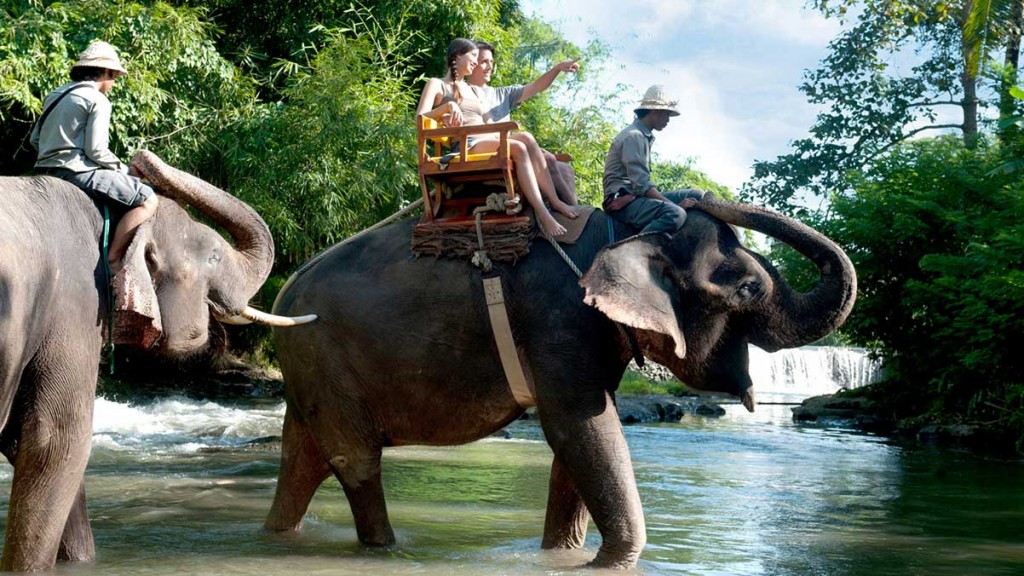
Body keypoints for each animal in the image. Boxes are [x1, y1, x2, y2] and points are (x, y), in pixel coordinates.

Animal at [266, 194, 856, 569]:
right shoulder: (558, 318)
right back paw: (387, 551)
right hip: (323, 358)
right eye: (750, 288)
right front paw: (606, 564)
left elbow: (580, 440)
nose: (705, 193)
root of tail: (284, 291)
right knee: (356, 459)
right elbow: (580, 426)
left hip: (310, 371)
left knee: (302, 460)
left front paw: (561, 557)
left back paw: (277, 536)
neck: (620, 237)